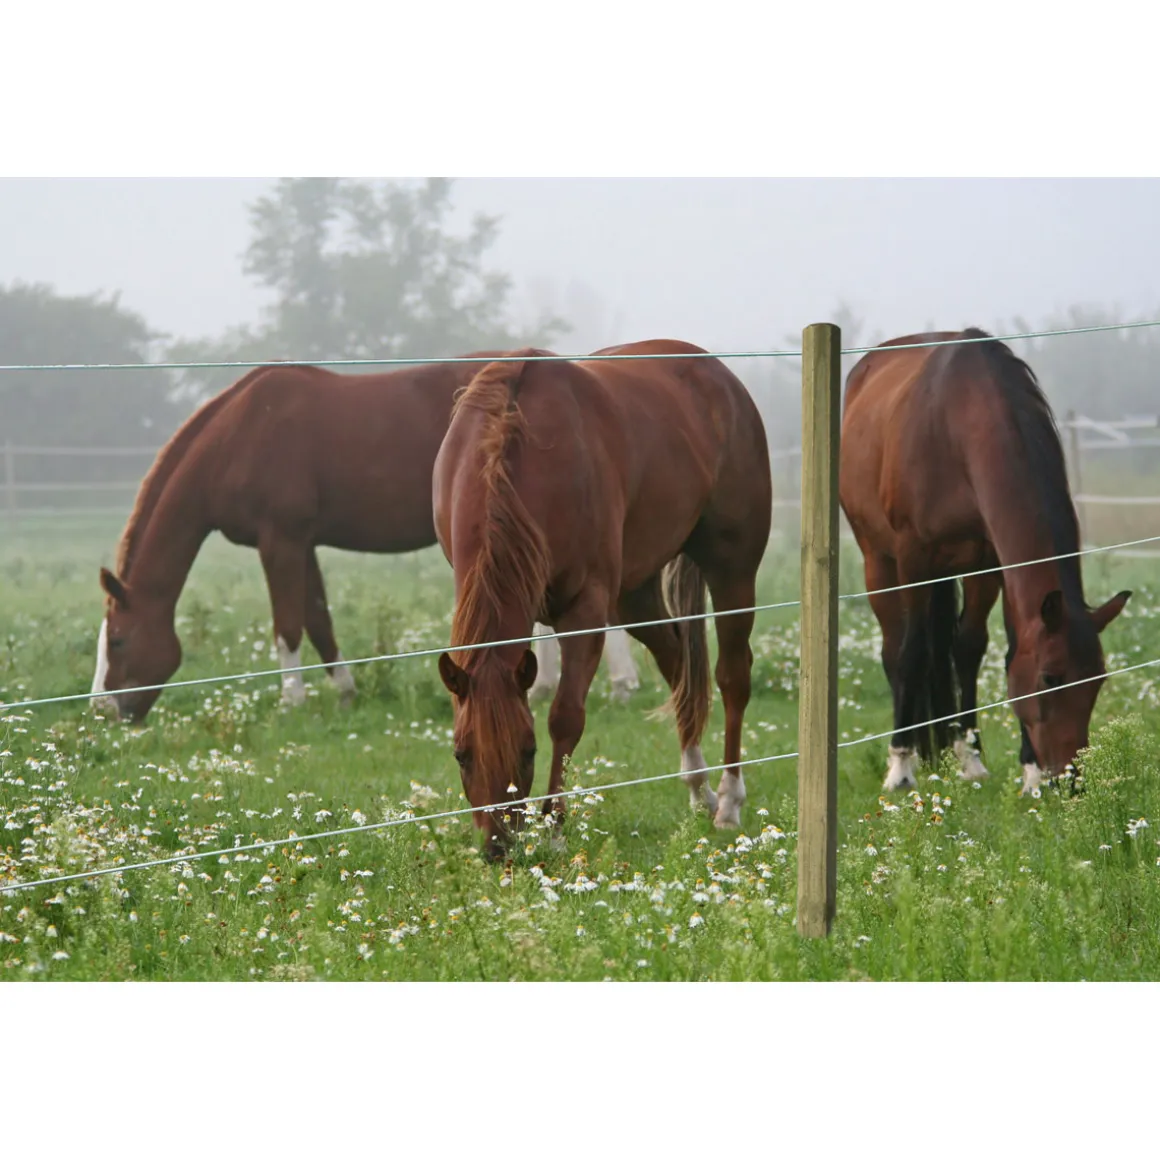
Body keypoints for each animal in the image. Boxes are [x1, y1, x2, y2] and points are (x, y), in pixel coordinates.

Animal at [90, 358, 640, 723]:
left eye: (118, 641)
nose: (103, 708)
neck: (239, 436)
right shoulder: (302, 544)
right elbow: (318, 620)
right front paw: (345, 691)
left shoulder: (280, 541)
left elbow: (288, 626)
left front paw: (292, 700)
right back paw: (545, 683)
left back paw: (621, 684)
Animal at [432, 340, 772, 859]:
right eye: (461, 754)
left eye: (528, 751)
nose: (498, 847)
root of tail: (720, 376)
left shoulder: (586, 611)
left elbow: (565, 717)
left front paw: (554, 827)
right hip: (634, 594)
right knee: (678, 662)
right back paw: (698, 789)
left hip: (732, 568)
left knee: (732, 676)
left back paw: (729, 801)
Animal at [839, 328, 1131, 795]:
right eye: (1050, 678)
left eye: (1099, 680)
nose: (1071, 780)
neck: (959, 425)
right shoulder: (913, 557)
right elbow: (911, 653)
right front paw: (900, 767)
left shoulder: (990, 560)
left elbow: (979, 647)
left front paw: (1008, 766)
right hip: (878, 560)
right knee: (895, 647)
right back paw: (912, 754)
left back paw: (942, 750)